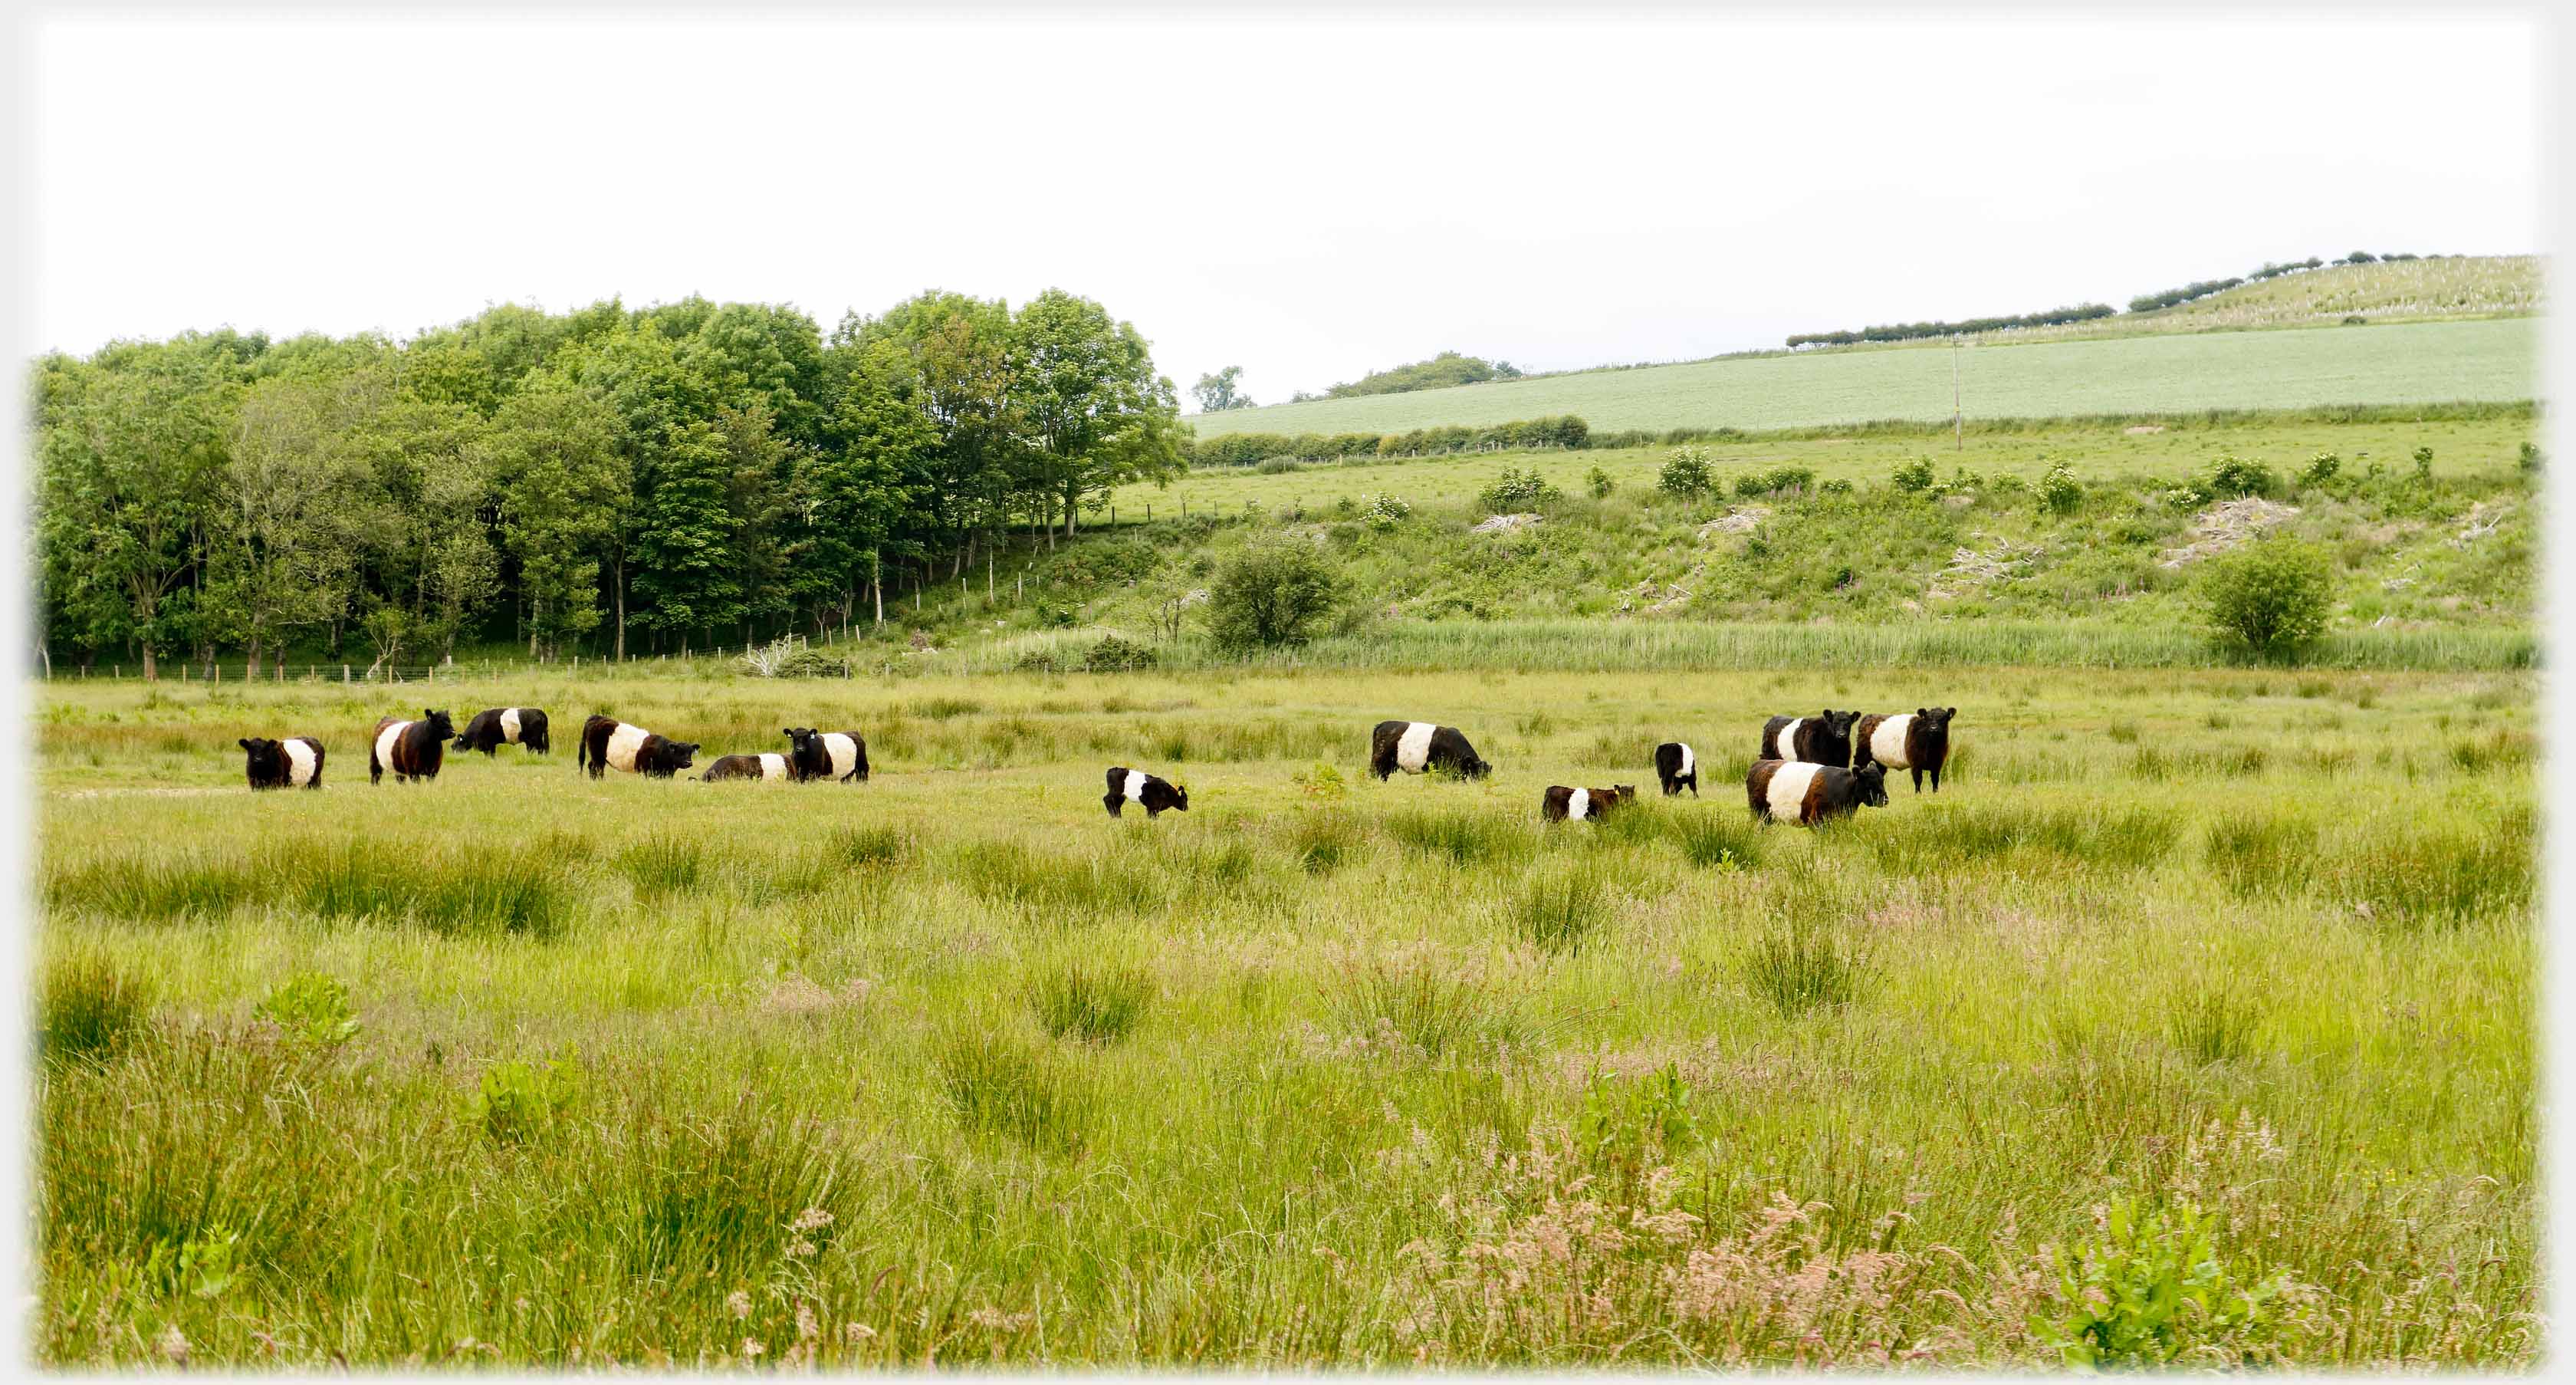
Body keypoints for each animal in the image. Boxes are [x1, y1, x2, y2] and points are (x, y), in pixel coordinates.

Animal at [576, 714, 700, 779]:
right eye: (680, 752)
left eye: (690, 752)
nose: (688, 762)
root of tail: (596, 717)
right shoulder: (647, 770)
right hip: (598, 755)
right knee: (596, 768)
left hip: (598, 756)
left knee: (591, 766)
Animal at [1369, 720, 1491, 781]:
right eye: (1478, 773)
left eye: (1487, 775)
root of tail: (1382, 725)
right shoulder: (1452, 771)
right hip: (1379, 760)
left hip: (1388, 764)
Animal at [1745, 759, 1888, 826]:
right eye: (1869, 785)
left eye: (1882, 781)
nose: (1885, 800)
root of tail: (1758, 763)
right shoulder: (1818, 820)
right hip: (1760, 815)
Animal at [1759, 709, 1859, 769]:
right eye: (1834, 723)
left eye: (1849, 723)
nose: (1841, 735)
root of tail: (1773, 719)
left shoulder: (1843, 763)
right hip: (1768, 755)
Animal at [1854, 707, 1957, 793]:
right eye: (1928, 719)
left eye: (1943, 719)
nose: (1934, 728)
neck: (1932, 747)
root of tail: (1868, 716)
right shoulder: (1916, 764)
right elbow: (1918, 780)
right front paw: (1918, 794)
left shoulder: (1937, 763)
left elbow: (1935, 780)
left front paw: (1935, 793)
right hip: (1862, 755)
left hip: (1880, 760)